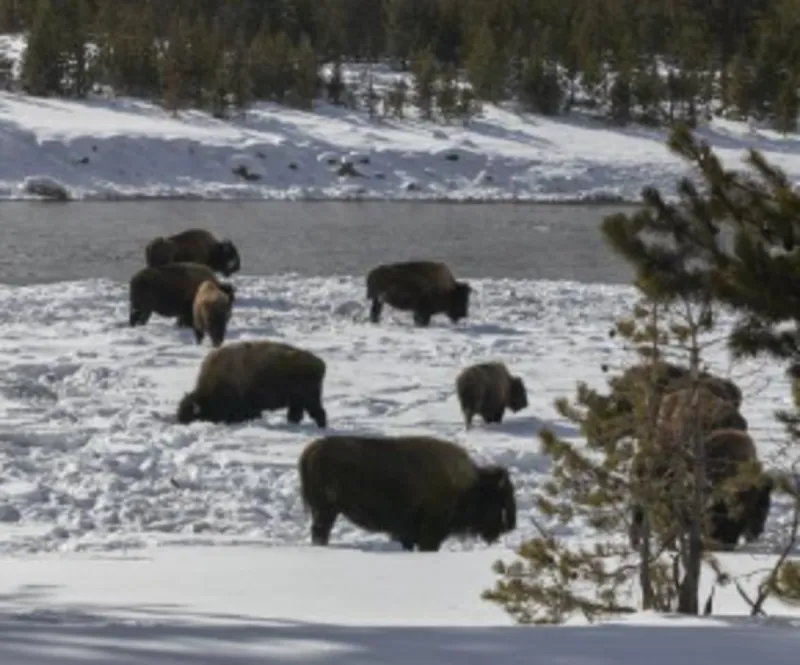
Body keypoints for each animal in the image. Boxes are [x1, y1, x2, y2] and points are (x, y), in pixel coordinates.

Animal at [177, 339, 327, 427]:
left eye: (190, 416)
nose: (180, 422)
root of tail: (319, 363)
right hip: (298, 401)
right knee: (298, 415)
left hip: (309, 399)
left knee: (318, 413)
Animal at [298, 434, 516, 551]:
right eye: (499, 499)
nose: (507, 528)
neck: (470, 486)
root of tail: (312, 449)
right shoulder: (430, 533)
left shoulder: (408, 534)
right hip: (325, 511)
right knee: (320, 531)